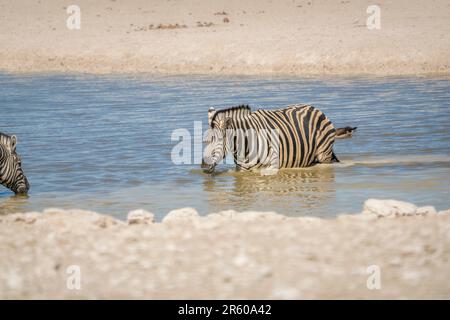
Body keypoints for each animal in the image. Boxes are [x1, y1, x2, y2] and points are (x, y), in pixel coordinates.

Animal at [202, 104, 356, 174]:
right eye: (206, 141)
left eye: (218, 140)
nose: (203, 165)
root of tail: (315, 108)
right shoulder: (242, 171)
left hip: (324, 154)